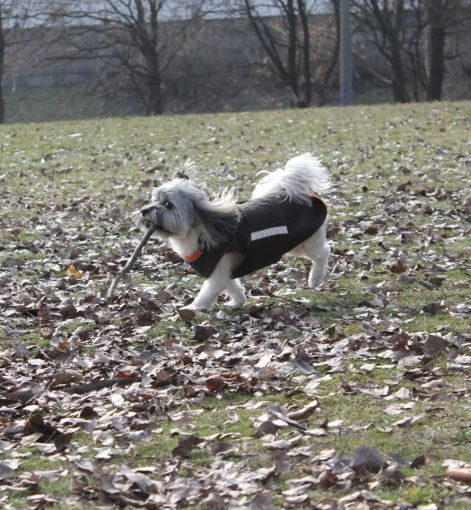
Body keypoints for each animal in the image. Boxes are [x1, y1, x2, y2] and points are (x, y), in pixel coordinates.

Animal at [139, 152, 332, 310]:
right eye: (154, 199)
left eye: (168, 205)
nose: (144, 211)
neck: (200, 228)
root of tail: (307, 195)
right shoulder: (224, 271)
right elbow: (232, 286)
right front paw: (238, 302)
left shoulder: (219, 270)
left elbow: (207, 292)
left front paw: (193, 308)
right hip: (293, 245)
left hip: (308, 242)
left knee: (323, 253)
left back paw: (315, 279)